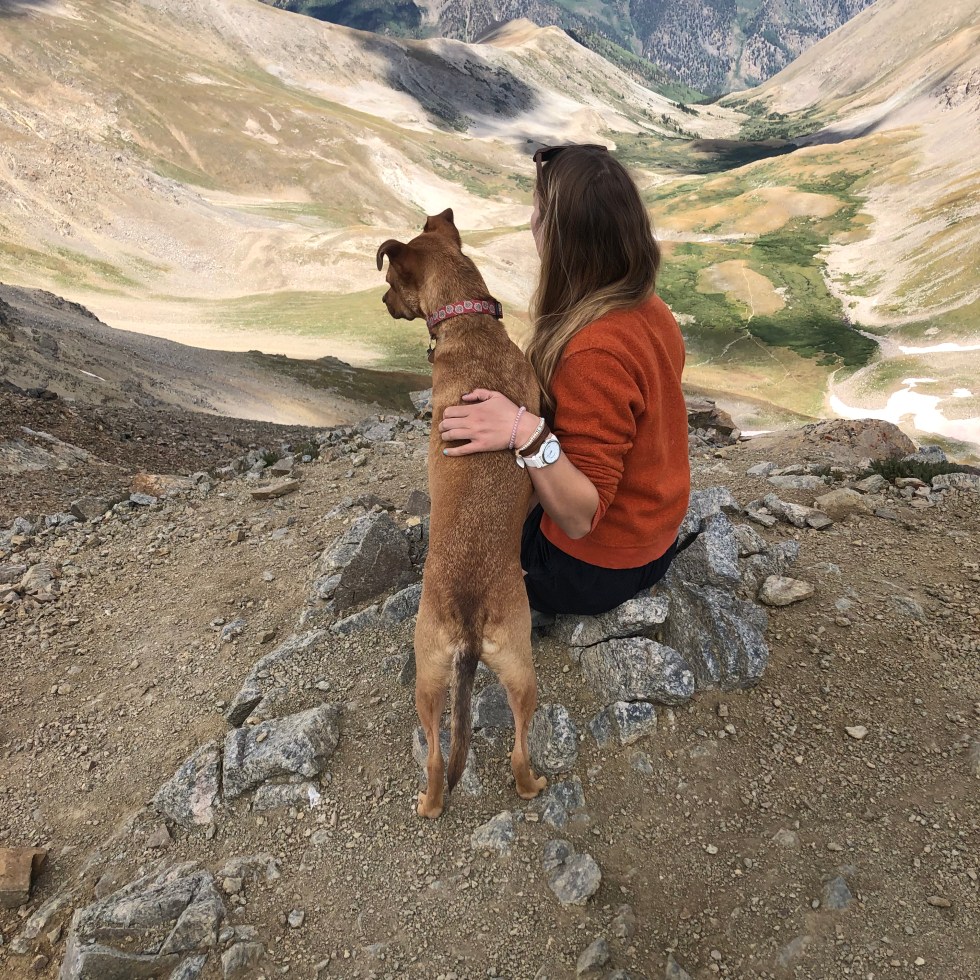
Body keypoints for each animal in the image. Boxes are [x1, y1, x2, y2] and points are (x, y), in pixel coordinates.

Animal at [377, 209, 547, 818]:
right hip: (497, 669)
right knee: (507, 751)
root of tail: (470, 615)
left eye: (391, 280)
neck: (469, 322)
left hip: (437, 675)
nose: (382, 304)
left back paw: (434, 804)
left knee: (442, 756)